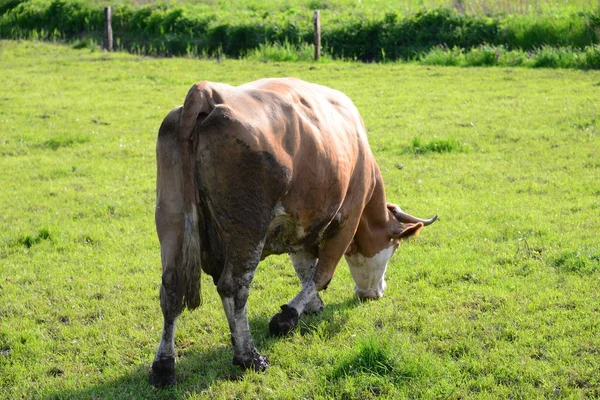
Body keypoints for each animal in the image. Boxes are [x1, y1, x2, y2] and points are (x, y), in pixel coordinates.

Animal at [150, 76, 436, 386]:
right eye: (395, 247)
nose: (375, 292)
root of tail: (206, 92)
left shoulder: (300, 226)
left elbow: (304, 269)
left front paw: (311, 306)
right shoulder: (348, 215)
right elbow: (321, 274)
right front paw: (287, 317)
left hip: (172, 216)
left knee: (172, 286)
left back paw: (164, 366)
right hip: (248, 228)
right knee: (234, 287)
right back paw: (249, 356)